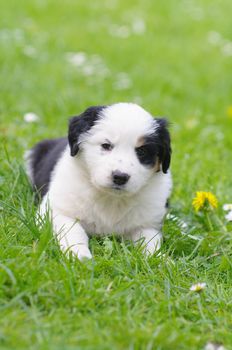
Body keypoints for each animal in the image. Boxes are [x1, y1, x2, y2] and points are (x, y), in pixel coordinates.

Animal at [25, 102, 171, 260]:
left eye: (142, 151)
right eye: (106, 145)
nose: (120, 177)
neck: (111, 199)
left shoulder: (148, 223)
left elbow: (150, 242)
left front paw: (160, 259)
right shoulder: (54, 211)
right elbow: (73, 230)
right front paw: (80, 255)